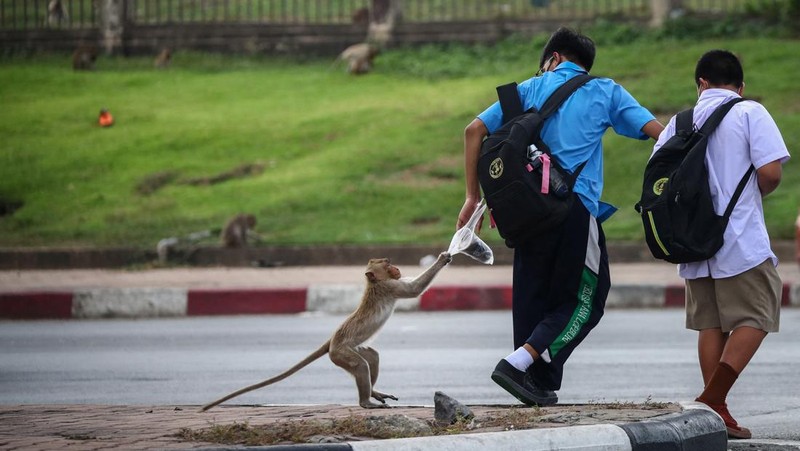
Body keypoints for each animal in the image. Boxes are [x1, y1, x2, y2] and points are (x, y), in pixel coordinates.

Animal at [200, 252, 454, 412]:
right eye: (387, 264)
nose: (397, 268)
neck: (373, 284)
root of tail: (332, 341)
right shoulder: (390, 287)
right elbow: (414, 289)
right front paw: (442, 259)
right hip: (340, 354)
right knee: (360, 364)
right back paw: (366, 402)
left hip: (347, 350)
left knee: (371, 356)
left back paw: (373, 393)